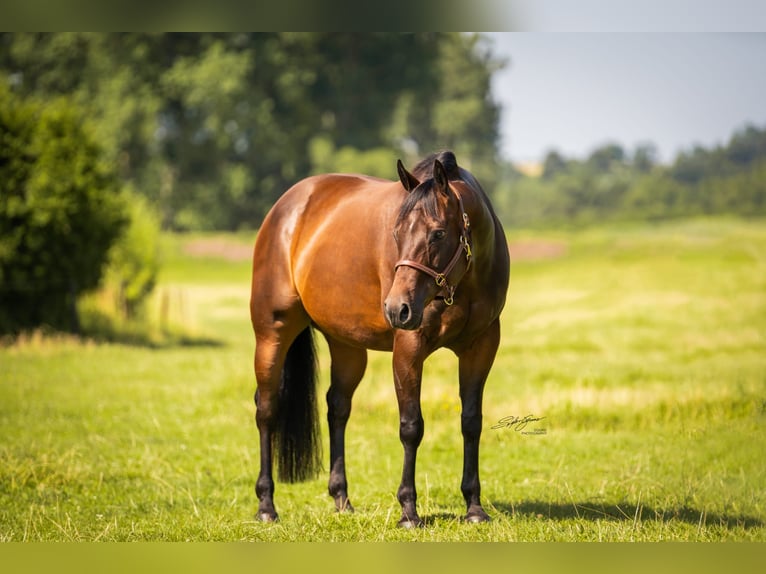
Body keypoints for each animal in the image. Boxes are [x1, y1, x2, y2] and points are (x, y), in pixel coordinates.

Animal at [250, 150, 510, 527]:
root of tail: (287, 206)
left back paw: (341, 499)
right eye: (397, 232)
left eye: (438, 233)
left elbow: (471, 422)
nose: (396, 308)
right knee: (267, 410)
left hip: (347, 347)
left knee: (337, 408)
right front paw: (409, 511)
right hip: (272, 334)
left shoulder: (482, 347)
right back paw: (266, 505)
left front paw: (474, 507)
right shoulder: (409, 348)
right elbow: (411, 426)